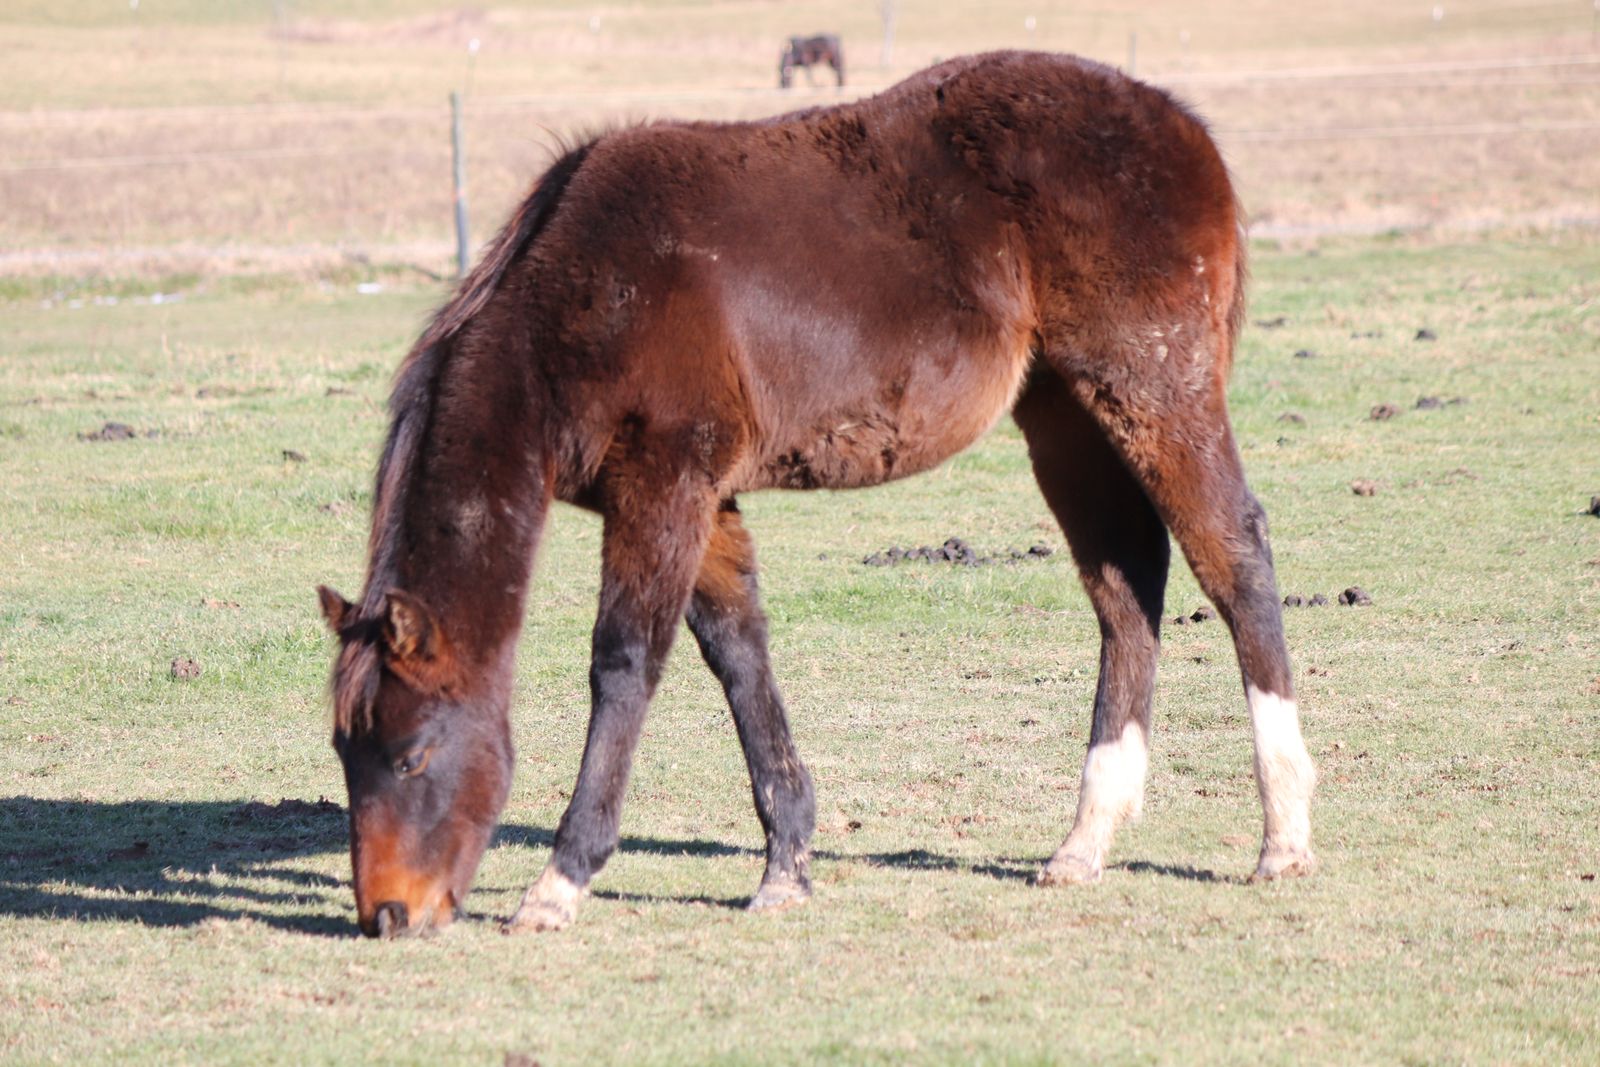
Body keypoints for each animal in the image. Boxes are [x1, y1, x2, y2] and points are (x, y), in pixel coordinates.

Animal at [318, 50, 1317, 939]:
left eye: (410, 753)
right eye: (342, 751)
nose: (389, 915)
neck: (583, 297)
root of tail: (1184, 127)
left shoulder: (663, 487)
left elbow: (625, 663)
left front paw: (559, 882)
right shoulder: (704, 500)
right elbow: (738, 655)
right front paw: (786, 866)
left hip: (1153, 390)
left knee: (1234, 554)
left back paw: (1283, 837)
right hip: (1063, 413)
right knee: (1125, 582)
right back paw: (1083, 841)